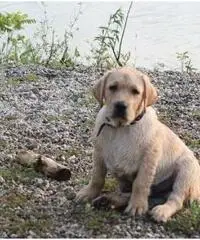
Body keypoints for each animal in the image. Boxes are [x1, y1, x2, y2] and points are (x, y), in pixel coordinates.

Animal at [76, 66, 200, 222]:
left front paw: (137, 206)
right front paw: (89, 193)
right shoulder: (98, 152)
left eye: (135, 91)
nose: (120, 105)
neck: (121, 128)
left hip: (186, 170)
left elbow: (140, 184)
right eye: (112, 87)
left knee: (176, 199)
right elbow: (97, 177)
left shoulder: (149, 158)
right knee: (138, 194)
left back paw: (162, 211)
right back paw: (109, 200)